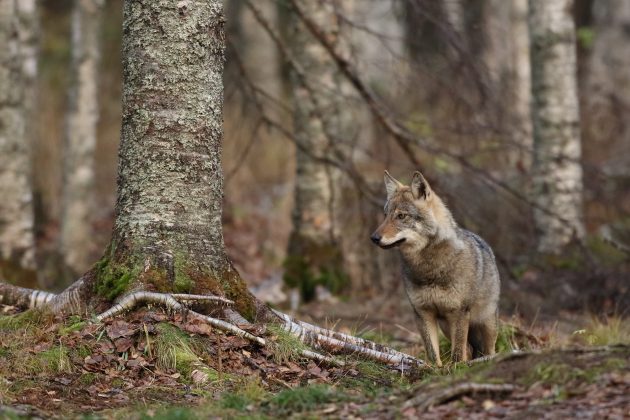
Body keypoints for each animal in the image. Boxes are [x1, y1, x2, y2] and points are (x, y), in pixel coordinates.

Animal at [372, 170, 502, 364]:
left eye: (401, 216)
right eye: (386, 215)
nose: (373, 238)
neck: (428, 268)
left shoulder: (459, 313)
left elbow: (457, 354)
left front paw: (457, 368)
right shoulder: (422, 313)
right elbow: (432, 352)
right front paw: (435, 369)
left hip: (486, 324)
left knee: (487, 350)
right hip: (447, 328)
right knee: (471, 348)